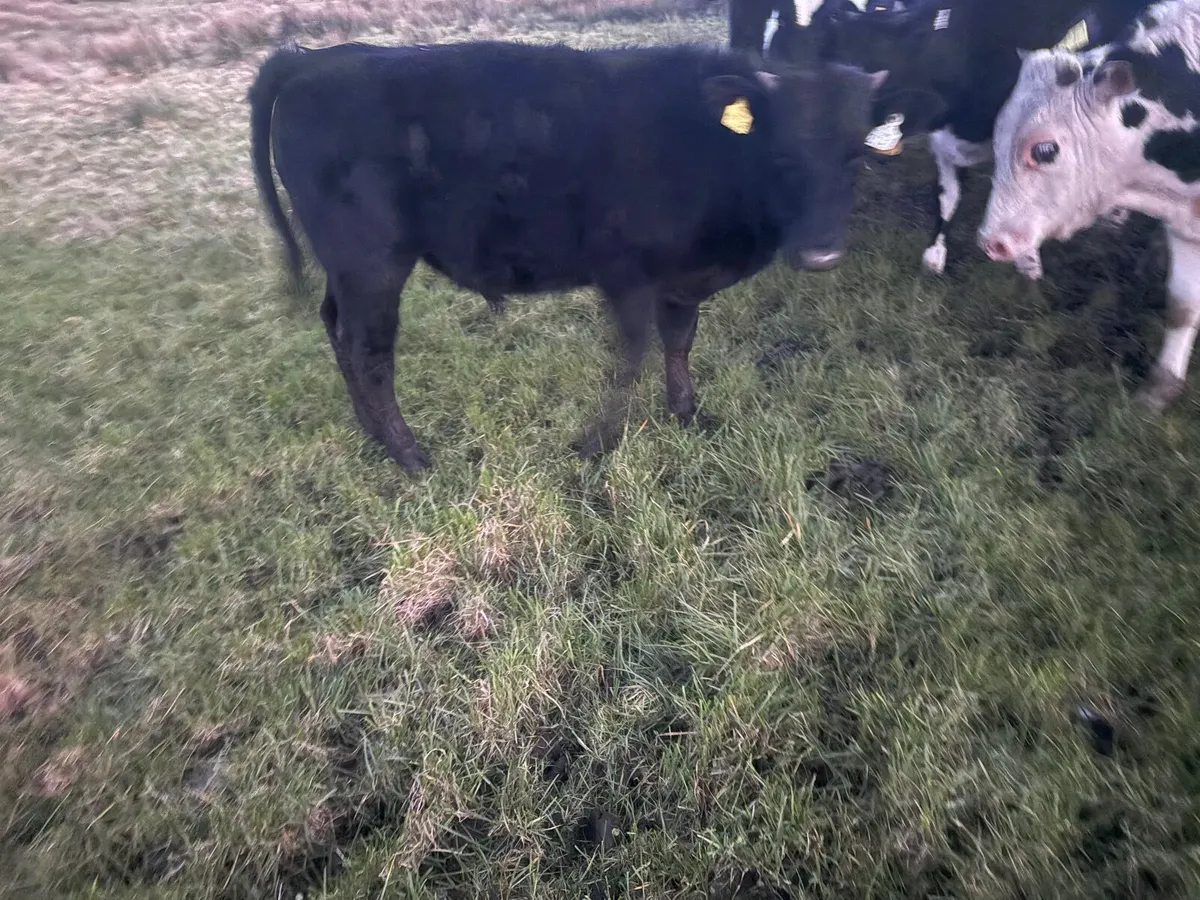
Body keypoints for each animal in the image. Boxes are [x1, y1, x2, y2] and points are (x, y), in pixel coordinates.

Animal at [248, 40, 888, 472]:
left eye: (858, 155)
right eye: (782, 153)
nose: (821, 255)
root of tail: (316, 58)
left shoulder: (680, 279)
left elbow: (679, 342)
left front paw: (687, 414)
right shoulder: (628, 276)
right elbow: (630, 359)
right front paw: (599, 443)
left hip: (345, 270)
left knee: (335, 328)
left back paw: (372, 433)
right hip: (373, 265)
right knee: (370, 352)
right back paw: (409, 455)